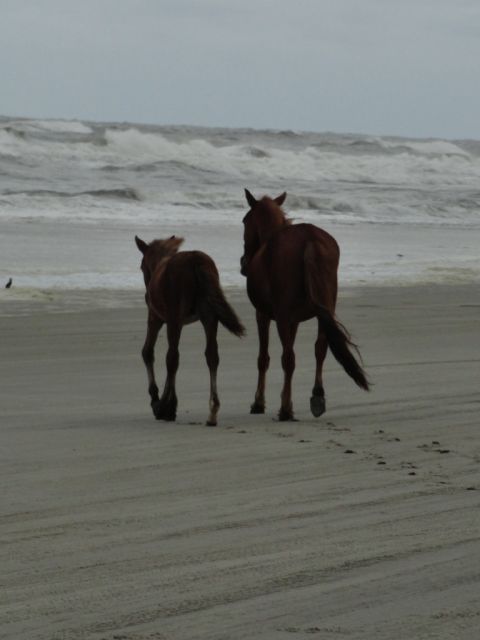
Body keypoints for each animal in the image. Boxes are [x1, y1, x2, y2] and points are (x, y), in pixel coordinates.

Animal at [135, 235, 245, 426]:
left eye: (142, 266)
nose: (146, 294)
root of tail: (196, 260)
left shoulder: (156, 318)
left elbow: (148, 352)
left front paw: (158, 402)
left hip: (175, 318)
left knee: (172, 357)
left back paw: (166, 406)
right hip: (209, 317)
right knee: (212, 355)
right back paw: (212, 411)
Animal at [240, 189, 369, 421]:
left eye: (245, 221)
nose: (244, 262)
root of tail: (311, 241)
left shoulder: (263, 315)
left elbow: (264, 358)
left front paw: (259, 402)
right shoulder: (295, 320)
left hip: (282, 316)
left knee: (288, 358)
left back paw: (285, 410)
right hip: (325, 310)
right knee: (320, 348)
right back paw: (317, 396)